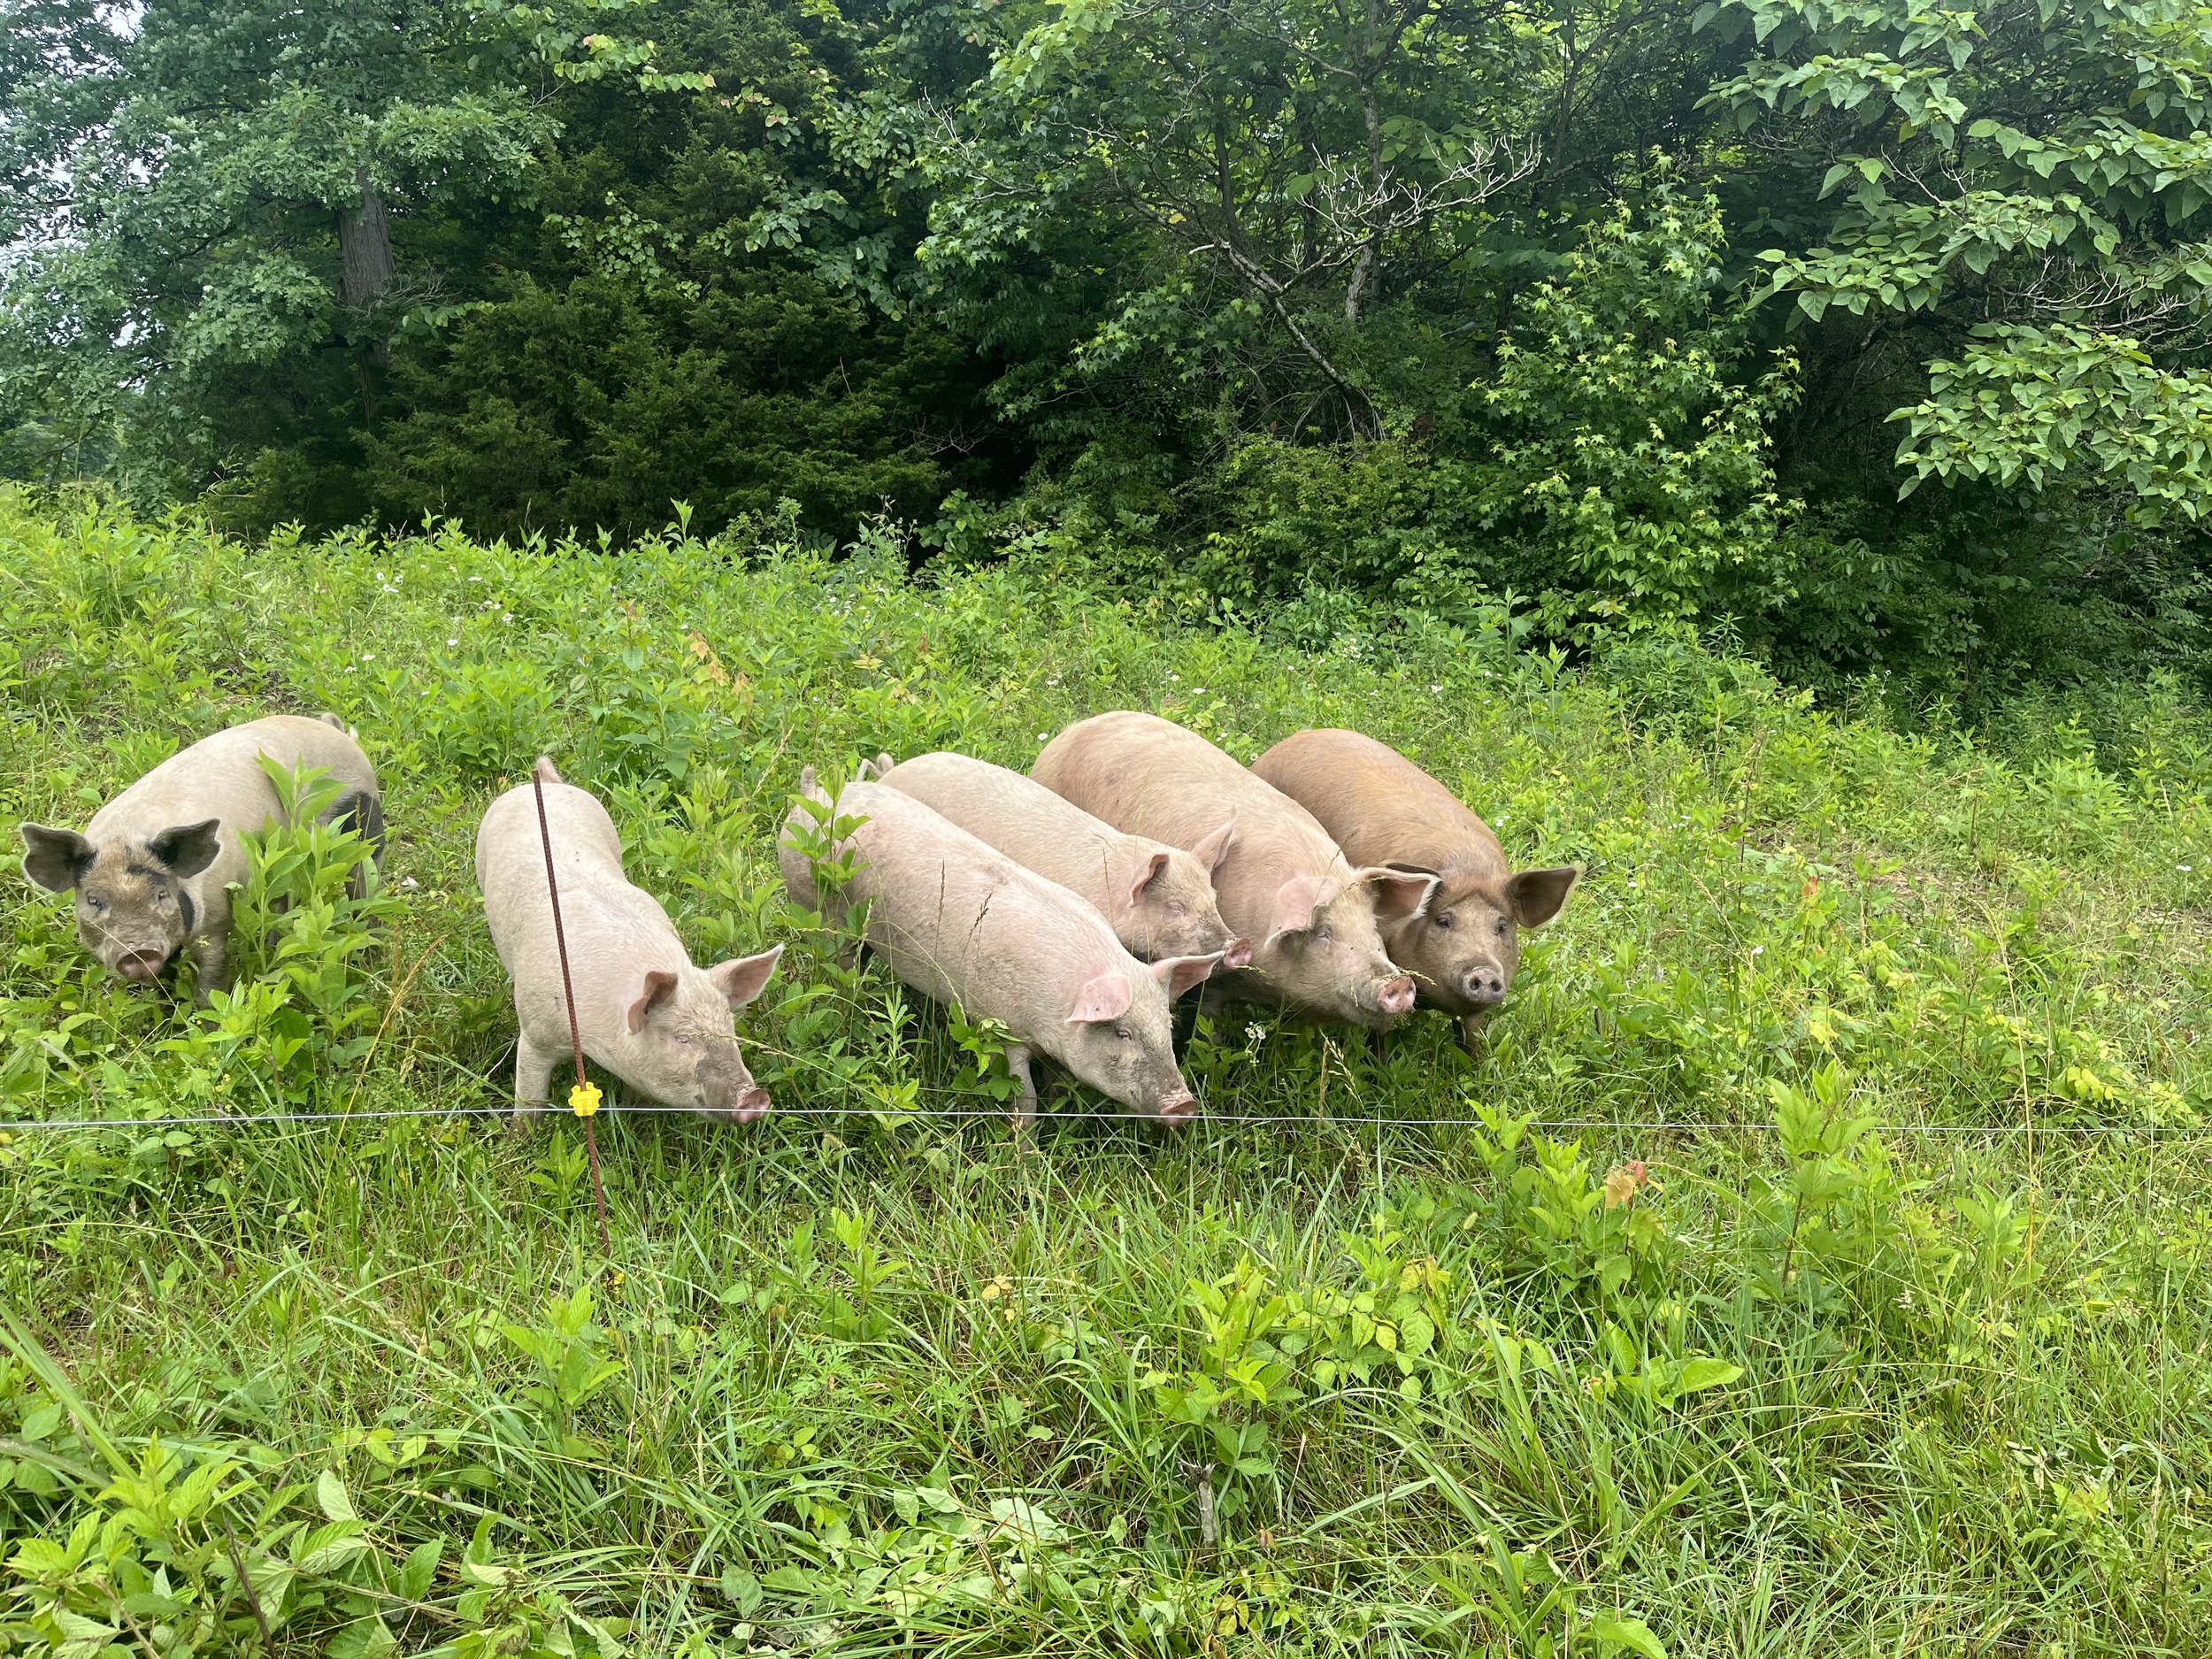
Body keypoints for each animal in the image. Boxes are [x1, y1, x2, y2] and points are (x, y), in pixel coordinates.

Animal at [18, 712, 384, 1003]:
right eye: (94, 900)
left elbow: (212, 980)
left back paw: (369, 955)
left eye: (161, 894)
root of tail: (335, 729)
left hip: (361, 821)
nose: (139, 951)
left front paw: (207, 1020)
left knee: (365, 885)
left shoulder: (217, 917)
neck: (126, 837)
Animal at [478, 758, 783, 1126]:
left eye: (730, 1029)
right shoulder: (535, 1032)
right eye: (683, 1038)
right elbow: (529, 1097)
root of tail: (544, 784)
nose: (756, 1097)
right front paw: (521, 1133)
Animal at [779, 769, 1224, 1126]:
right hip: (815, 904)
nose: (1184, 1105)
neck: (1059, 1004)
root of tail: (814, 793)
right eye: (1123, 1032)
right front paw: (1024, 1151)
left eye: (1167, 1026)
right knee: (839, 964)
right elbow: (1023, 1096)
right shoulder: (1001, 1027)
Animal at [1251, 728, 1578, 1047]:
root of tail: (1292, 740)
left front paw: (1474, 1061)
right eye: (1443, 921)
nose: (1484, 971)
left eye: (1502, 925)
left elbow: (1471, 1037)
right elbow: (1381, 1031)